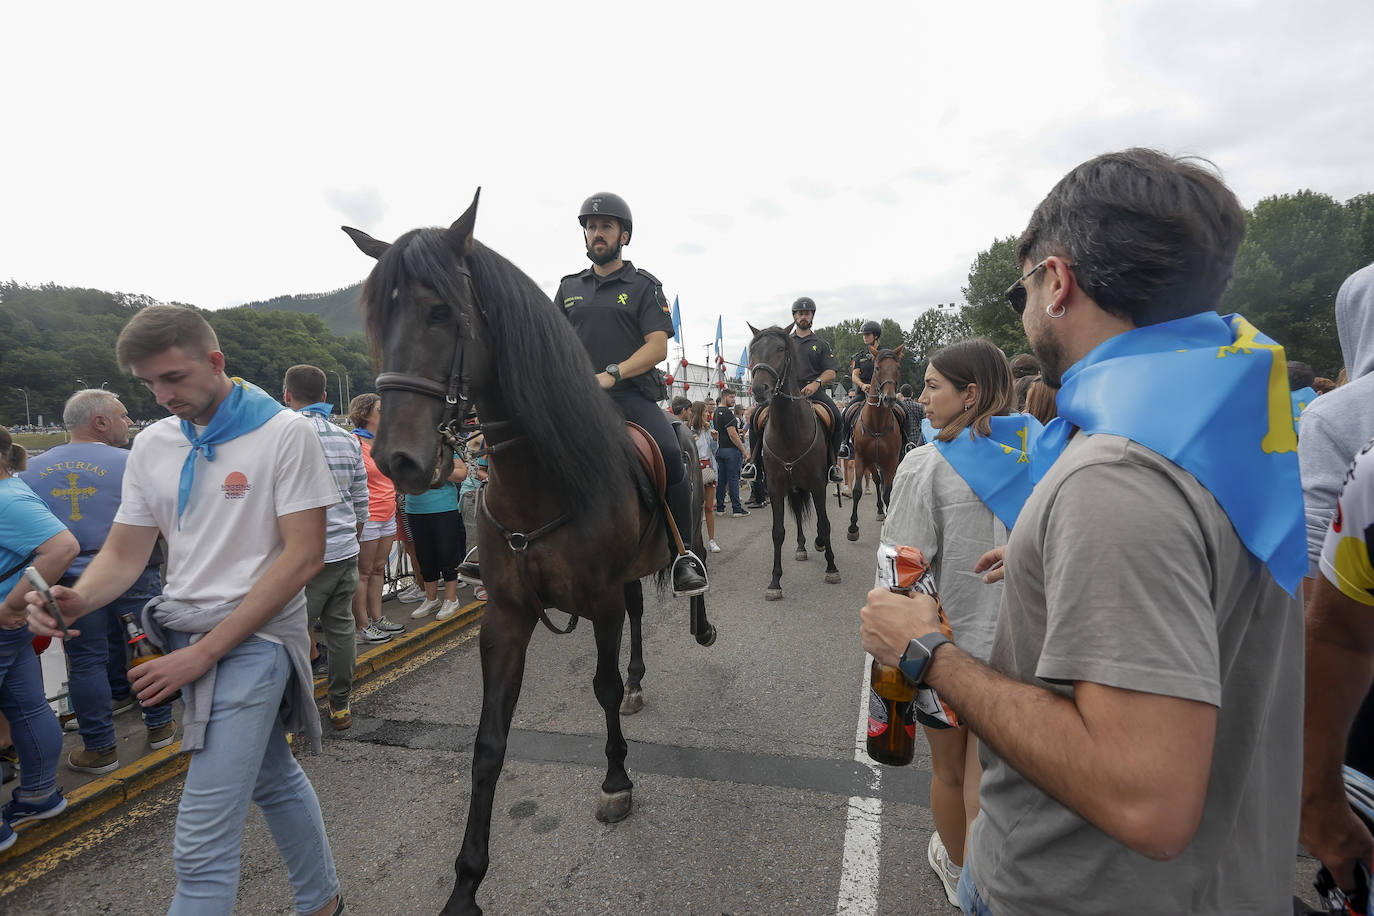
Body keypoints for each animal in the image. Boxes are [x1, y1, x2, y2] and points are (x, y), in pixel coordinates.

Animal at [343, 189, 714, 911]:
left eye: (440, 311)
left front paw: (616, 783)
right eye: (375, 317)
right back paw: (640, 680)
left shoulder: (597, 598)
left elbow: (599, 688)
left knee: (683, 582)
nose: (398, 460)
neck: (541, 483)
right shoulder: (507, 614)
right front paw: (466, 882)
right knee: (638, 616)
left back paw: (698, 613)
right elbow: (489, 741)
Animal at [747, 324, 840, 601]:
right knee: (798, 514)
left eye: (780, 349)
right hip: (793, 486)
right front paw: (775, 582)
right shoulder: (777, 487)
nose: (760, 390)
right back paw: (801, 546)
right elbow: (778, 532)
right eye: (753, 350)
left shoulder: (818, 484)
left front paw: (831, 567)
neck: (789, 432)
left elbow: (824, 524)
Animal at [840, 347, 906, 541]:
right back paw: (878, 510)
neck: (877, 424)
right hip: (871, 462)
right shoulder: (861, 459)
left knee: (880, 484)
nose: (889, 399)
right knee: (876, 481)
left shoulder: (891, 461)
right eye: (877, 368)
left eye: (897, 367)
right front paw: (852, 528)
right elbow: (857, 491)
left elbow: (888, 492)